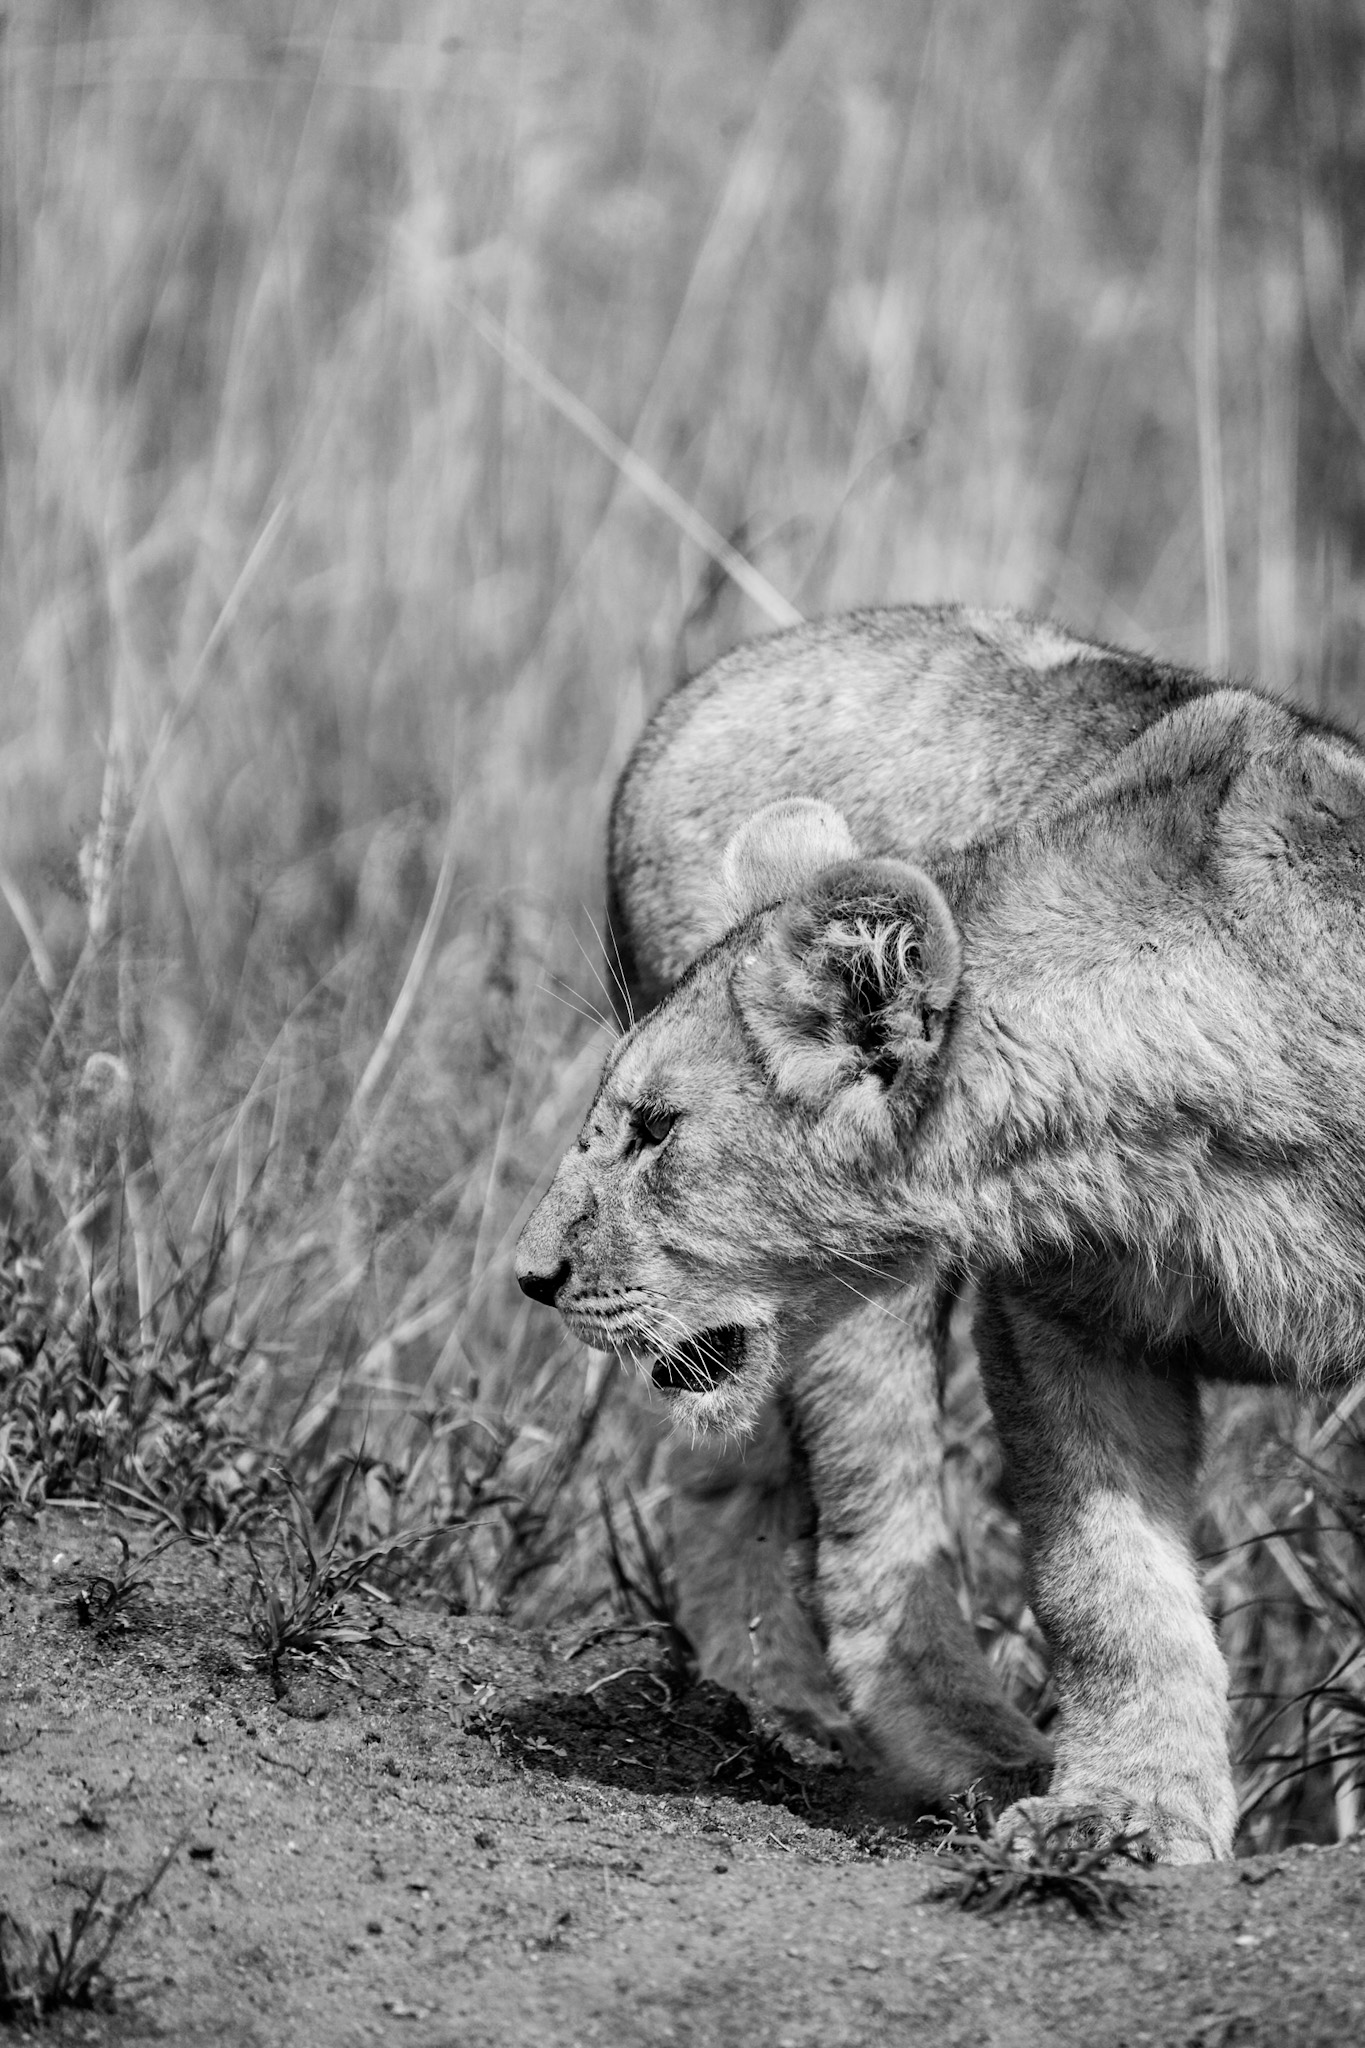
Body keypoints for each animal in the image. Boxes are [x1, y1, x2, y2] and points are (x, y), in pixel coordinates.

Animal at [519, 616, 1365, 1862]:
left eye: (655, 1130)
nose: (531, 1275)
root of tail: (708, 688)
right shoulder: (1065, 1315)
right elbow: (1106, 1583)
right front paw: (1123, 1811)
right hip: (858, 1301)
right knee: (855, 1523)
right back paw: (908, 1738)